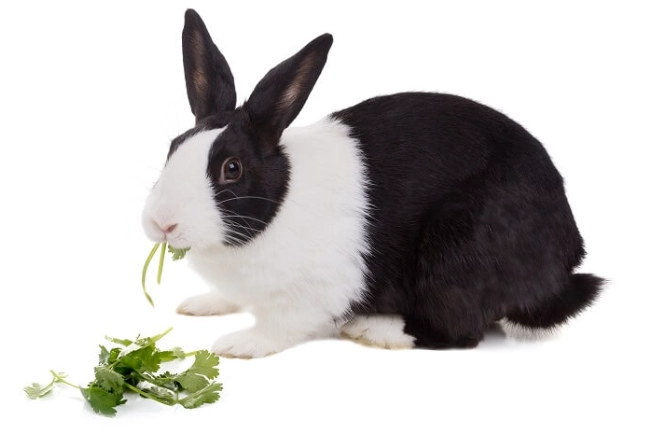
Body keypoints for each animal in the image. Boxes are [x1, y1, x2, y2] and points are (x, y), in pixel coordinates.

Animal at [142, 9, 604, 358]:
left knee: (458, 330)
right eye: (173, 148)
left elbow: (282, 324)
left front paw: (238, 344)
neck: (277, 205)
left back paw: (372, 329)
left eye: (232, 168)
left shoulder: (317, 290)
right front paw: (201, 305)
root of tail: (562, 266)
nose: (163, 224)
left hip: (458, 252)